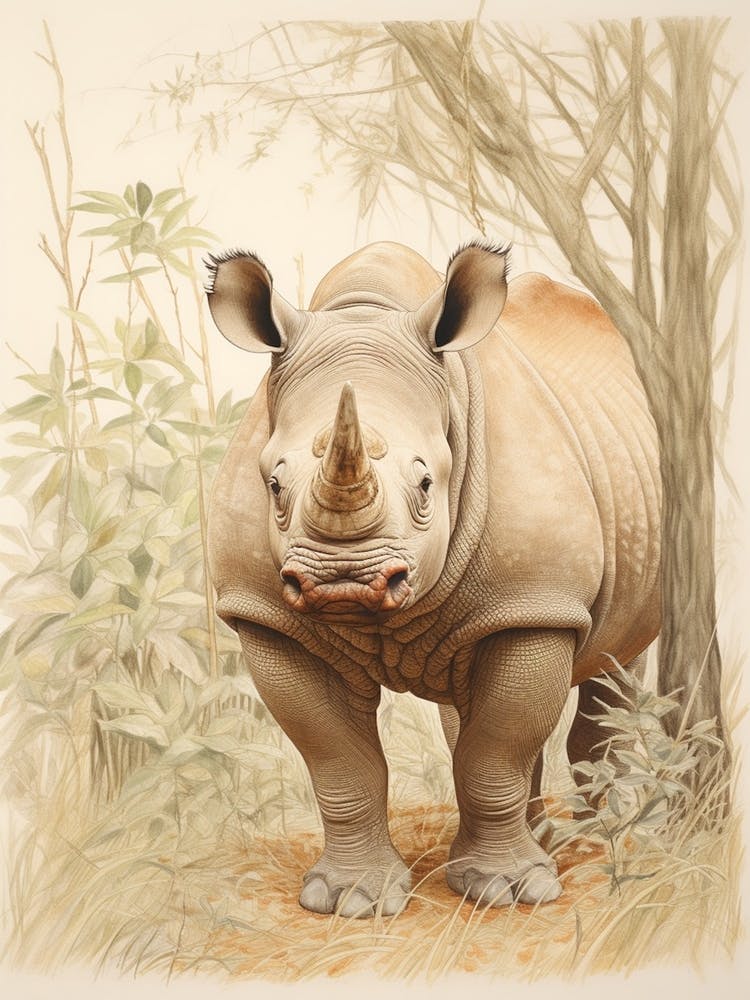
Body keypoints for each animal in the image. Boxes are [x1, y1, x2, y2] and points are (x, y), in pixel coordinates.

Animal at [206, 240, 661, 917]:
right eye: (275, 485)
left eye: (426, 483)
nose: (341, 580)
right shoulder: (266, 616)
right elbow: (339, 762)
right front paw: (351, 900)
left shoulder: (534, 600)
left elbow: (496, 750)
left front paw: (508, 892)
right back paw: (550, 839)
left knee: (612, 664)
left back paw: (598, 838)